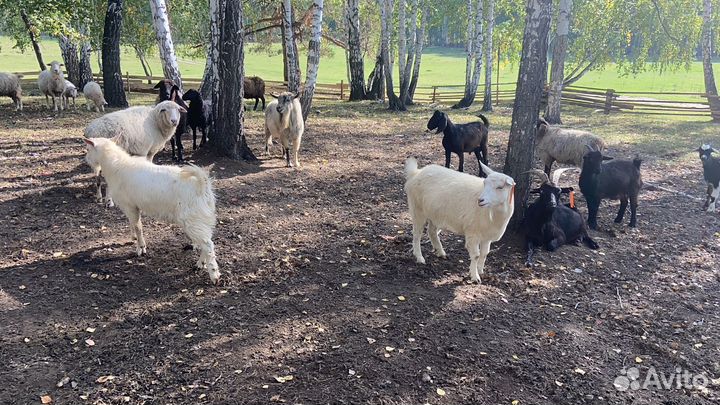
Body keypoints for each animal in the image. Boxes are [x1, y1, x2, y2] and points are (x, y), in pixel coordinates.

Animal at [84, 137, 220, 284]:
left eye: (88, 149)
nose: (87, 160)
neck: (116, 166)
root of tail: (202, 184)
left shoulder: (129, 205)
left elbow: (138, 227)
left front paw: (141, 248)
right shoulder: (133, 206)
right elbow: (133, 224)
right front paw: (134, 238)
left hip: (192, 219)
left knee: (208, 245)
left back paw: (214, 274)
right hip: (201, 219)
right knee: (206, 242)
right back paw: (201, 264)